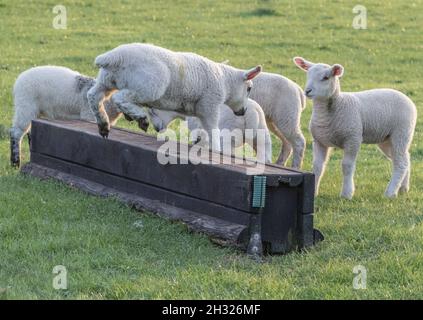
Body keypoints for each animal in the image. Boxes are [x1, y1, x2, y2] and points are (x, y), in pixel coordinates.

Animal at [86, 42, 262, 152]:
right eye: (249, 88)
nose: (243, 111)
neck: (225, 81)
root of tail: (114, 57)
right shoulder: (209, 105)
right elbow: (213, 130)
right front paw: (217, 151)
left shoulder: (199, 111)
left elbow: (203, 131)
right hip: (149, 86)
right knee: (119, 98)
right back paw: (140, 117)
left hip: (107, 80)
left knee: (94, 96)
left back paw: (103, 125)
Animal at [294, 56, 418, 199]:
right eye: (307, 74)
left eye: (326, 77)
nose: (307, 91)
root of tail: (407, 98)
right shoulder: (319, 141)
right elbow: (317, 166)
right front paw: (313, 192)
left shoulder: (353, 138)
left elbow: (347, 166)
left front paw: (347, 194)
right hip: (387, 140)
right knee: (405, 158)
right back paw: (403, 188)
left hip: (401, 132)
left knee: (400, 163)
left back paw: (390, 193)